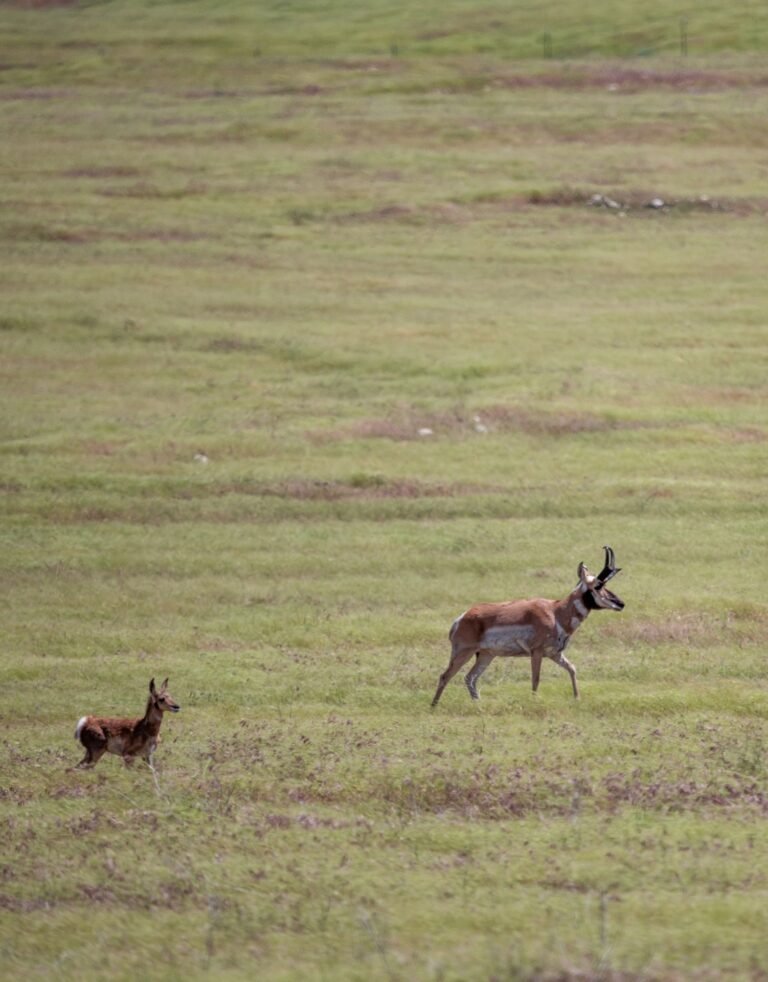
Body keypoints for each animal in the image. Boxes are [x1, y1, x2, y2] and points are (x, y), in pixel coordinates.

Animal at [431, 546, 624, 707]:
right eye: (598, 585)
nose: (620, 603)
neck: (555, 612)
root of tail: (462, 617)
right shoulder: (536, 652)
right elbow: (536, 679)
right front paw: (534, 702)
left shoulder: (555, 654)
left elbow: (572, 669)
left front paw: (577, 698)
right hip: (464, 653)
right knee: (445, 676)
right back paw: (434, 706)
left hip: (486, 655)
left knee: (470, 678)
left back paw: (478, 703)